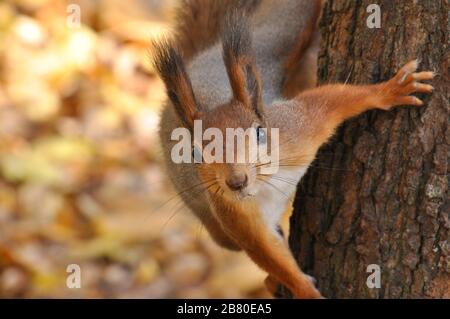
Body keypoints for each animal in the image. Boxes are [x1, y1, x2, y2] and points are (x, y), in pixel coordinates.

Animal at [154, 0, 432, 300]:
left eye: (260, 132)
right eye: (194, 153)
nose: (236, 182)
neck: (264, 184)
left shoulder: (299, 129)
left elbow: (333, 100)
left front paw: (391, 90)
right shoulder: (235, 216)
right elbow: (270, 256)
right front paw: (304, 290)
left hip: (278, 34)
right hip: (216, 228)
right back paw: (270, 282)